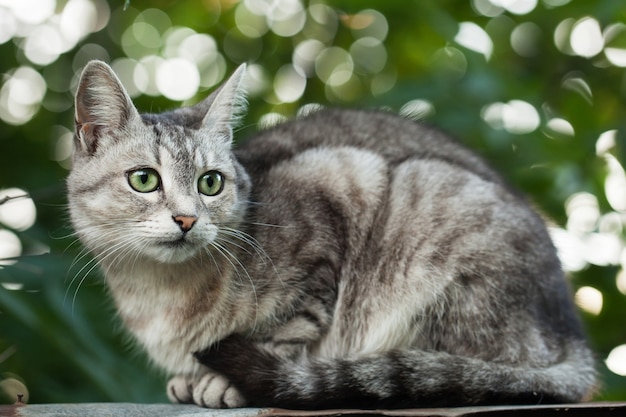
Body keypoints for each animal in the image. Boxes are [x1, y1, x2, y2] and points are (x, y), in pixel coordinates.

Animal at [67, 60, 596, 408]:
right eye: (144, 179)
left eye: (210, 183)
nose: (187, 219)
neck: (160, 292)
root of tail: (573, 337)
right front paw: (190, 375)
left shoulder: (335, 189)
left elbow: (291, 328)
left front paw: (223, 379)